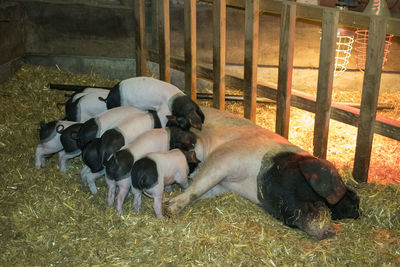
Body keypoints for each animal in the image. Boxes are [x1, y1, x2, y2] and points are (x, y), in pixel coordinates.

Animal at [166, 107, 360, 241]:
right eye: (321, 199)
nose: (331, 230)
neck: (252, 183)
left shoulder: (223, 185)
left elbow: (201, 190)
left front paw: (169, 204)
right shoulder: (225, 157)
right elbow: (198, 187)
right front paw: (169, 208)